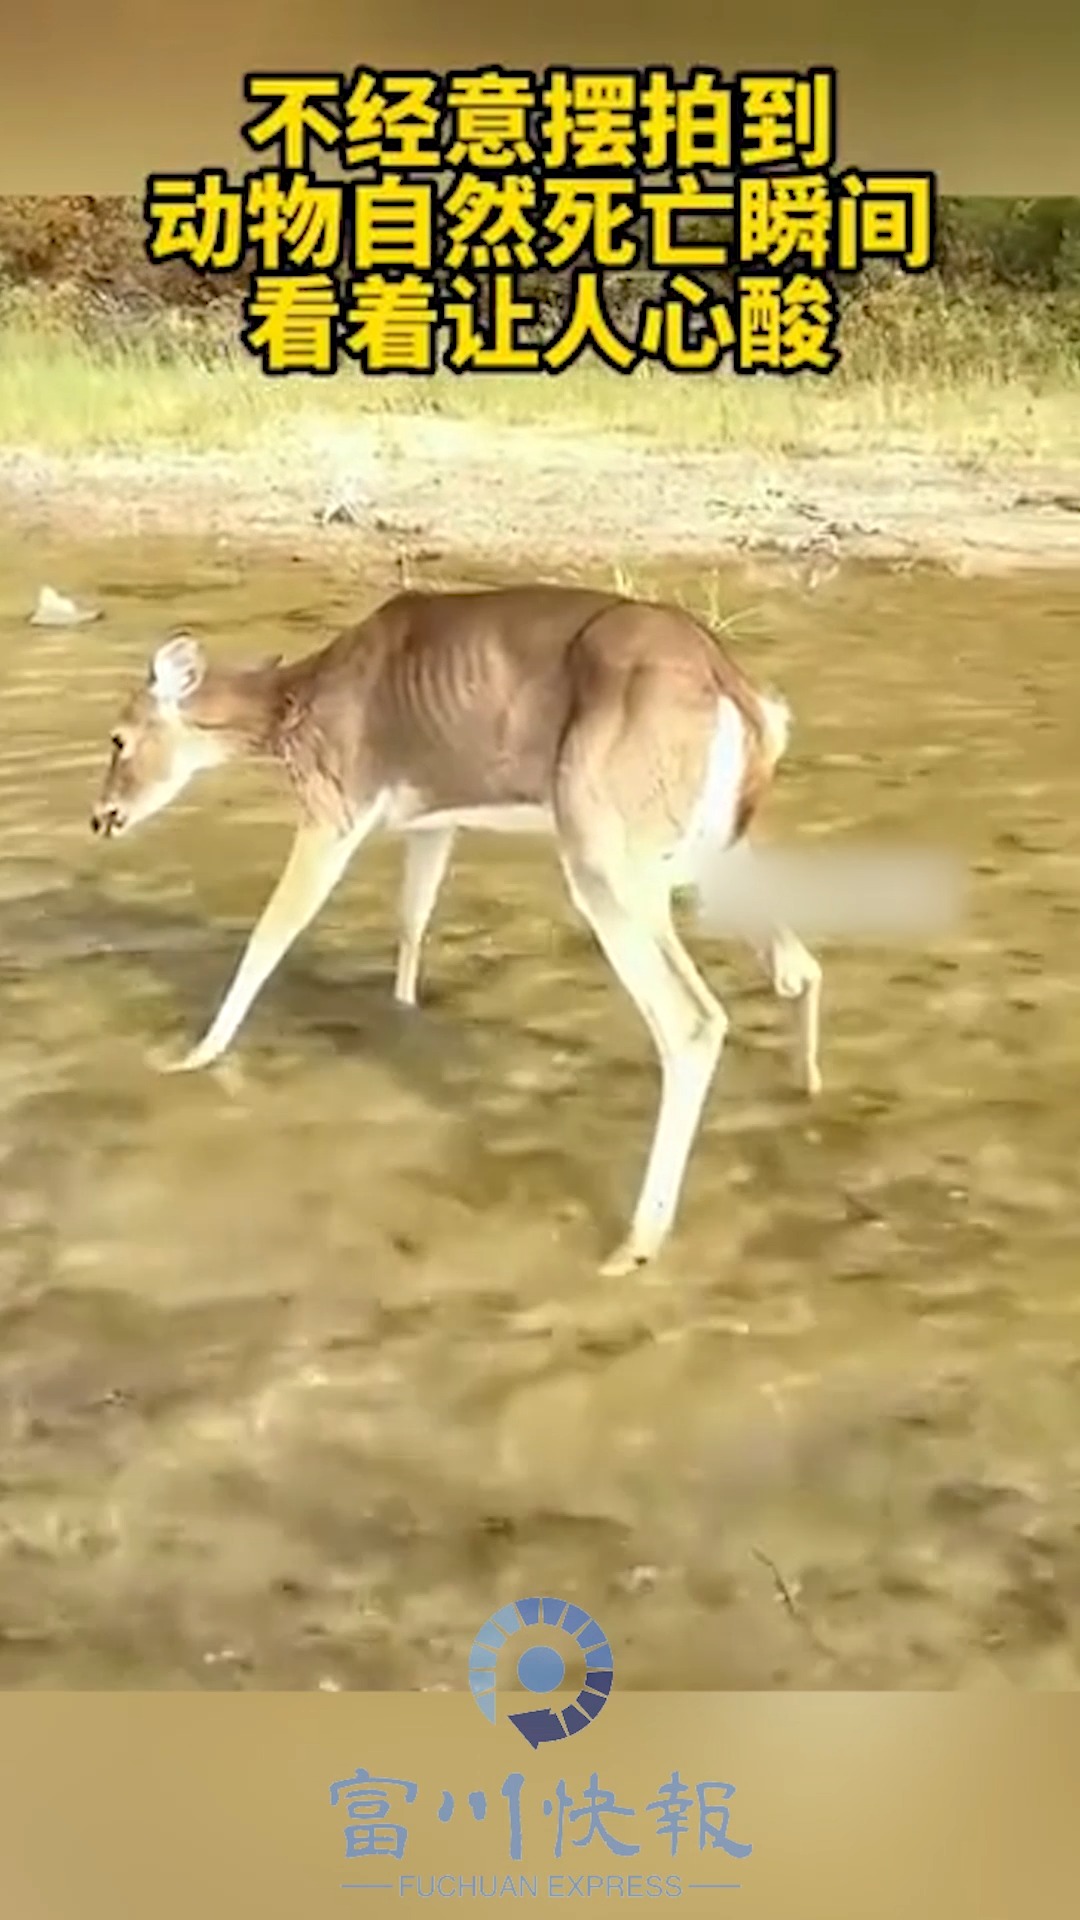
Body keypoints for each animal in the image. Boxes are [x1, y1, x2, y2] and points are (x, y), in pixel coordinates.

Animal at [92, 583, 818, 1274]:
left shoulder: (336, 806)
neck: (295, 706)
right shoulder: (434, 822)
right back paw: (806, 1090)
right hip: (700, 849)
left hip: (604, 843)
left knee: (693, 1022)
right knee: (797, 967)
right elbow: (413, 920)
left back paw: (635, 1244)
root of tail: (749, 700)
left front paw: (192, 1054)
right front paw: (405, 1017)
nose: (101, 817)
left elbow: (272, 933)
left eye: (119, 738)